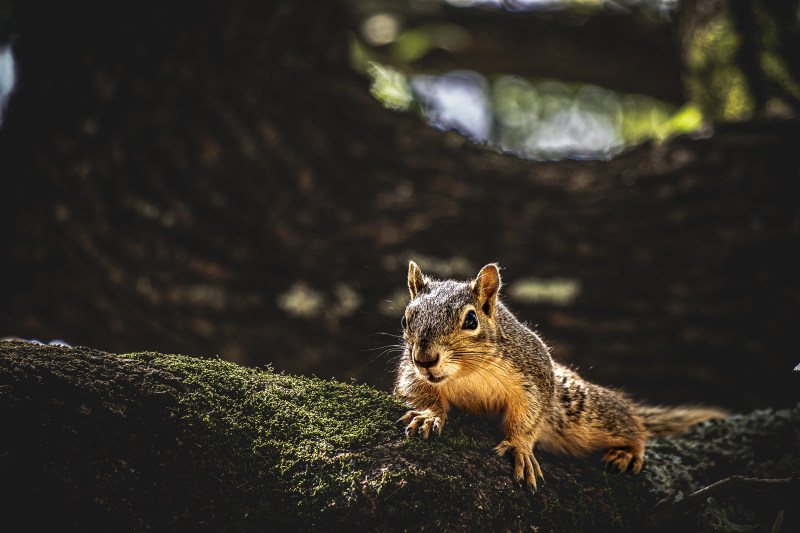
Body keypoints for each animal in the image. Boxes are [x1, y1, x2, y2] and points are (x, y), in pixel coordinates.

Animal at [396, 260, 728, 490]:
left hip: (584, 413)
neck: (466, 372)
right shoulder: (410, 373)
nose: (425, 359)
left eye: (471, 320)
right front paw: (428, 414)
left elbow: (529, 415)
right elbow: (416, 391)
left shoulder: (534, 372)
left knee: (631, 423)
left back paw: (628, 451)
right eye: (405, 319)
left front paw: (519, 447)